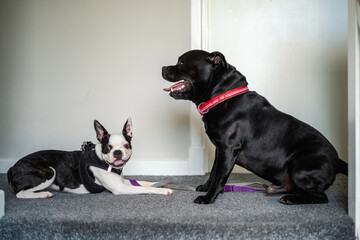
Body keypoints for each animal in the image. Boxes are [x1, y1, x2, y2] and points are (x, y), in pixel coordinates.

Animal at [7, 118, 173, 199]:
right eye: (108, 148)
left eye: (126, 146)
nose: (117, 152)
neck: (104, 162)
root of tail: (12, 168)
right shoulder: (120, 188)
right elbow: (143, 188)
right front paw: (163, 190)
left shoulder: (122, 182)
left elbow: (144, 182)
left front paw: (161, 183)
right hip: (49, 172)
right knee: (20, 194)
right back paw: (43, 194)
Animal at [162, 50, 346, 204]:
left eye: (181, 62)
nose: (163, 67)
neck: (223, 97)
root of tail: (338, 161)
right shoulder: (219, 150)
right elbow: (214, 172)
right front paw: (206, 187)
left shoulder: (228, 149)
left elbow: (220, 176)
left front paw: (209, 197)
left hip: (299, 168)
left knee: (321, 196)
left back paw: (291, 199)